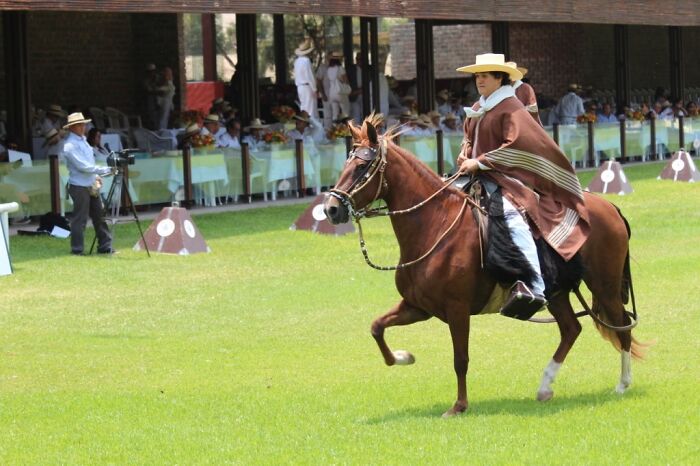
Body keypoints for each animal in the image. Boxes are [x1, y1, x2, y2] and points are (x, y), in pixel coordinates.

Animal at [323, 115, 649, 417]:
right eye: (345, 164)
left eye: (362, 167)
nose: (331, 209)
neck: (435, 225)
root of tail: (610, 207)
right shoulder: (418, 306)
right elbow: (377, 327)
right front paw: (403, 357)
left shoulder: (457, 309)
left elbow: (460, 359)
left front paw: (459, 406)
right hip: (557, 293)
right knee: (571, 328)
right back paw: (545, 387)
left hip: (605, 285)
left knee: (621, 326)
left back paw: (622, 383)